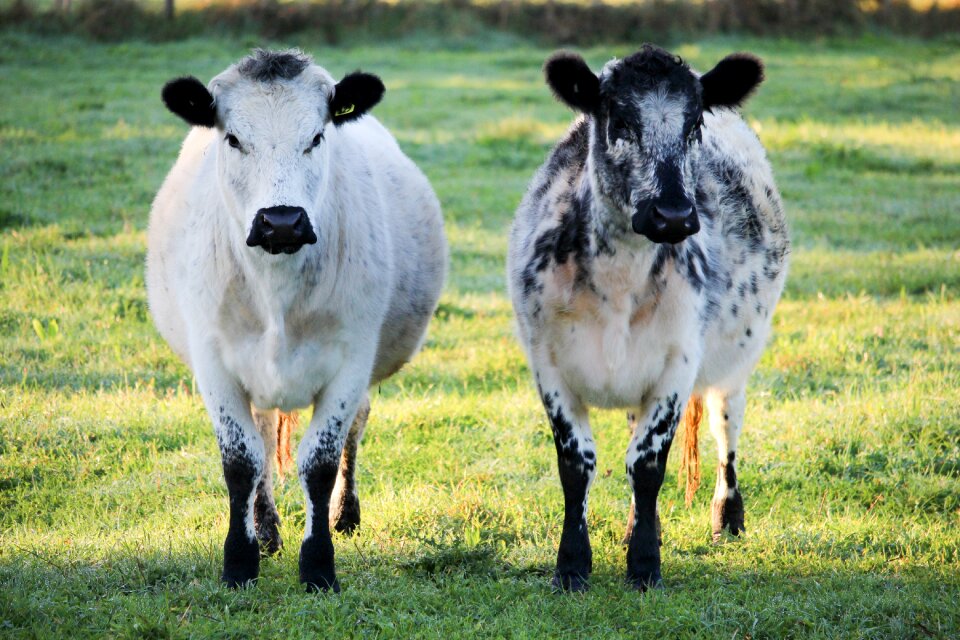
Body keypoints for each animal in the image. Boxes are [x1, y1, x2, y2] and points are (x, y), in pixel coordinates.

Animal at [148, 47, 448, 592]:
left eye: (317, 136)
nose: (281, 221)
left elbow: (321, 462)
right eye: (233, 138)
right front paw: (240, 560)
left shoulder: (351, 361)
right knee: (265, 436)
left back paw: (344, 515)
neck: (276, 293)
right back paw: (266, 528)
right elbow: (241, 460)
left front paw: (318, 564)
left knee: (353, 428)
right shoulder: (214, 363)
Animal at [506, 45, 792, 592]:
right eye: (619, 119)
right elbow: (577, 464)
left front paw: (643, 566)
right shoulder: (548, 364)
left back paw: (727, 516)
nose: (673, 215)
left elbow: (647, 465)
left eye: (694, 123)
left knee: (726, 427)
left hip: (735, 361)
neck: (619, 281)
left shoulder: (677, 365)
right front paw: (572, 566)